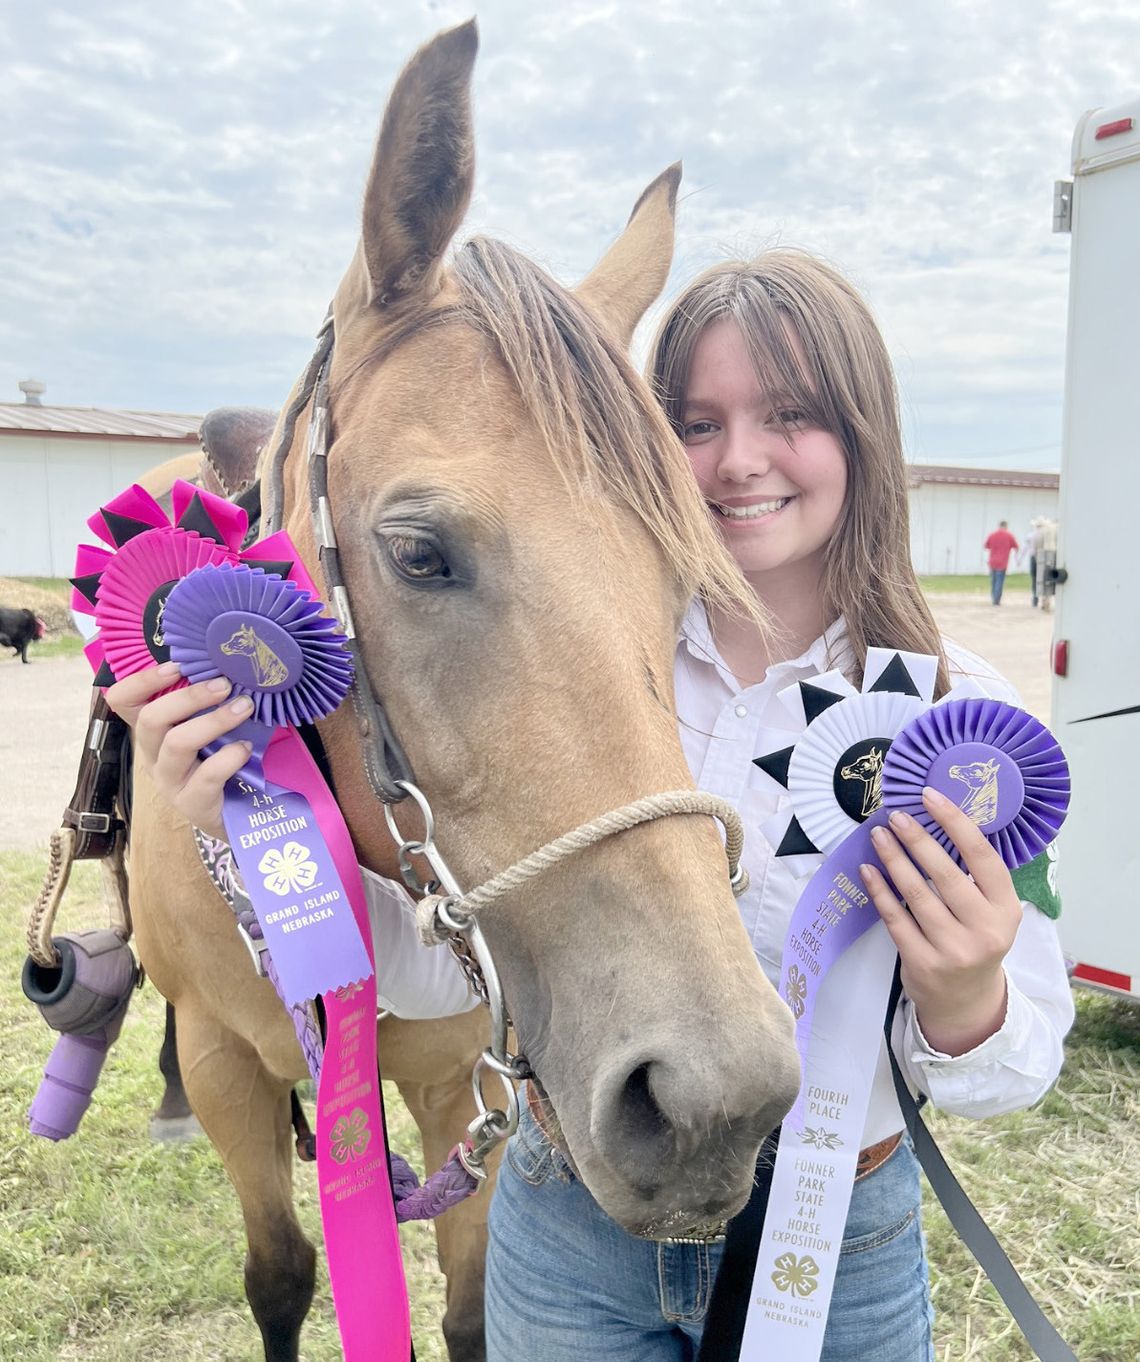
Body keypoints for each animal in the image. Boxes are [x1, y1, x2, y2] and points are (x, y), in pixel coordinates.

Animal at [124, 21, 795, 1362]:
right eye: (419, 552)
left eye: (682, 582)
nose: (716, 1101)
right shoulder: (233, 1071)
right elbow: (280, 1276)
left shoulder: (458, 1090)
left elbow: (473, 1309)